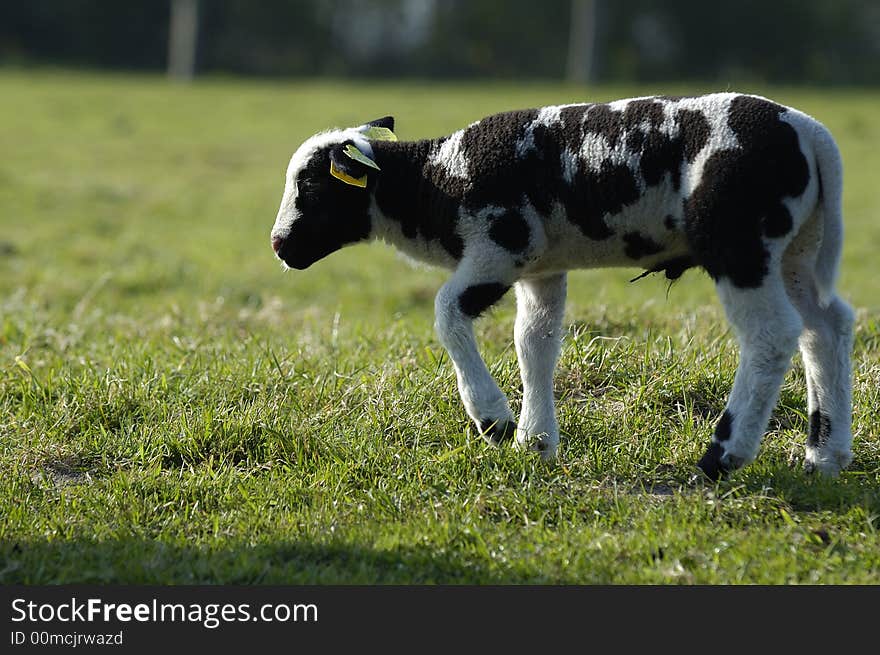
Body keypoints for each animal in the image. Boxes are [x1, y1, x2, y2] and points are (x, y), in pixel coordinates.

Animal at [268, 92, 852, 480]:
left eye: (309, 187)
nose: (279, 245)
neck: (436, 183)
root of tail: (810, 133)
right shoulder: (540, 267)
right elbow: (536, 343)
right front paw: (536, 441)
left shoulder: (501, 246)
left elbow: (447, 313)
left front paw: (495, 421)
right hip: (795, 246)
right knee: (826, 327)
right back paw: (826, 456)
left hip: (738, 239)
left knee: (772, 336)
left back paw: (722, 457)